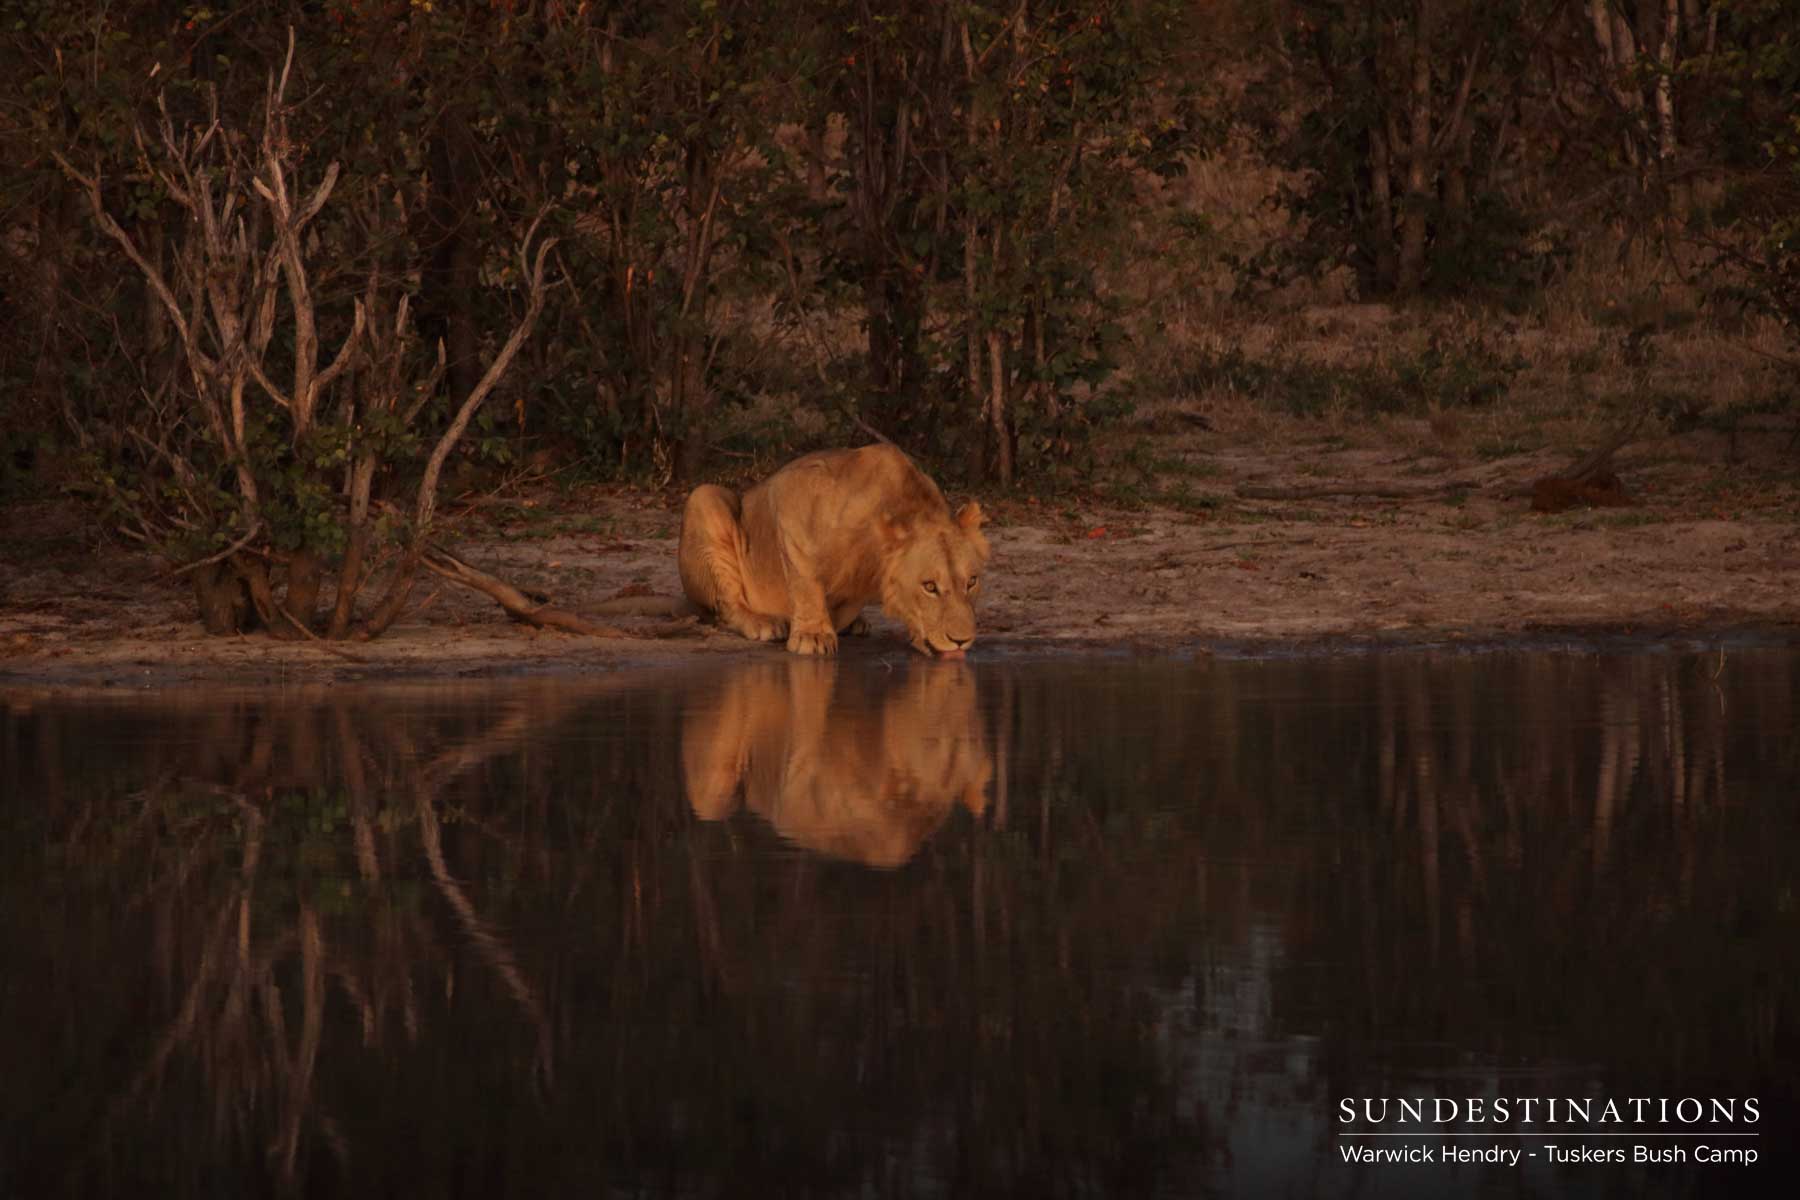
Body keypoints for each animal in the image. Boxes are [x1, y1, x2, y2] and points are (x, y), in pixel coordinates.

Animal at [677, 443, 989, 657]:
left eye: (972, 582)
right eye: (929, 586)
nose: (962, 641)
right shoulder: (791, 499)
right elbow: (805, 579)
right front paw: (812, 636)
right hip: (705, 497)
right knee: (727, 606)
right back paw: (763, 623)